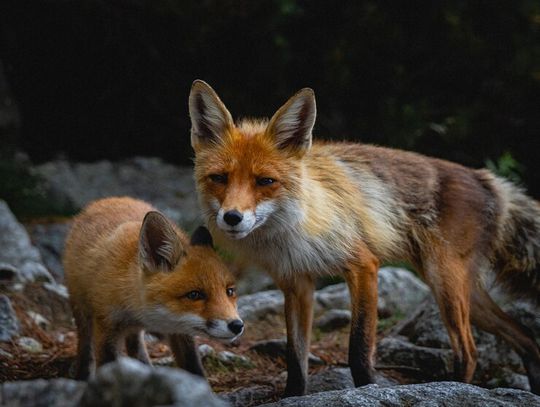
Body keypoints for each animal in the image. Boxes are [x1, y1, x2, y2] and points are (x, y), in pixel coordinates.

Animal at [62, 196, 244, 380]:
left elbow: (193, 367)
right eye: (194, 295)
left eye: (230, 291)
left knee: (135, 345)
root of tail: (107, 200)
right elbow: (107, 366)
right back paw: (82, 374)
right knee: (86, 345)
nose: (237, 325)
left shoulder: (180, 331)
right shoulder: (106, 326)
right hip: (81, 310)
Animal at [189, 79, 540, 396]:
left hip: (445, 284)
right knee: (525, 336)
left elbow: (358, 349)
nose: (232, 217)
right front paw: (292, 396)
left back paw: (453, 388)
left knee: (470, 352)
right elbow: (295, 358)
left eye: (265, 181)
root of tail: (485, 178)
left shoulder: (363, 266)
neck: (291, 231)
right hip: (465, 293)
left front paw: (367, 389)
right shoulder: (297, 283)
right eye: (219, 178)